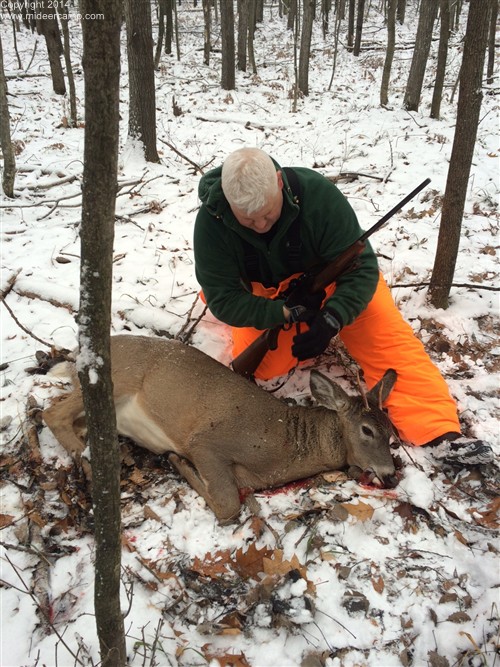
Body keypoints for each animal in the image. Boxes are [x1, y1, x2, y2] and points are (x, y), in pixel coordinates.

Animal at [45, 336, 400, 524]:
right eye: (367, 430)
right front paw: (179, 463)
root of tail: (77, 354)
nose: (390, 474)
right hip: (117, 377)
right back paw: (89, 461)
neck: (288, 442)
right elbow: (228, 506)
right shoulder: (206, 441)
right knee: (51, 412)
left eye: (391, 433)